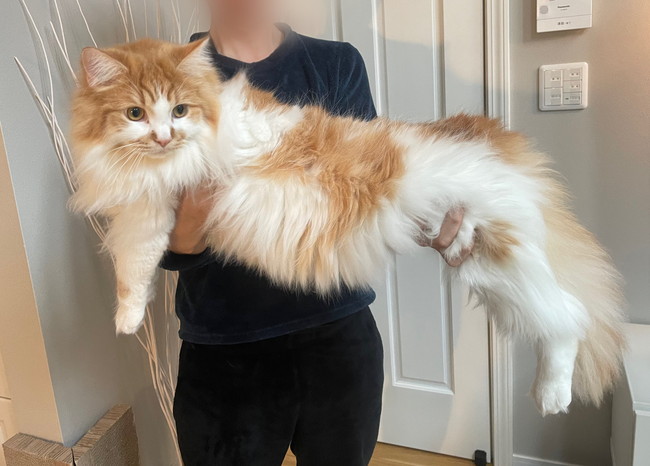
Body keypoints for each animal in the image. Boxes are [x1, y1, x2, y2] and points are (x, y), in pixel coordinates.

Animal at [70, 38, 625, 416]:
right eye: (135, 113)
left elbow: (134, 257)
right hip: (483, 262)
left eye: (179, 109)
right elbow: (139, 263)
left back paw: (552, 395)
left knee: (568, 319)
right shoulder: (154, 207)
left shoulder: (167, 190)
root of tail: (483, 128)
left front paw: (123, 318)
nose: (164, 137)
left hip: (508, 255)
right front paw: (130, 318)